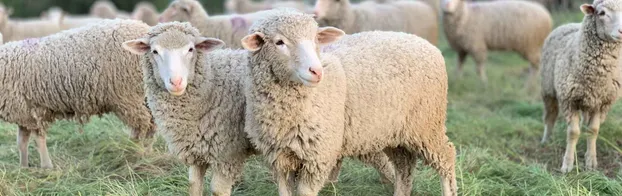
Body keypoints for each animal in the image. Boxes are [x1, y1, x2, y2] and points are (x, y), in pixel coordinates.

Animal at [0, 18, 156, 168]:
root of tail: (145, 28)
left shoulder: (33, 111)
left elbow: (39, 140)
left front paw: (46, 166)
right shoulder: (23, 112)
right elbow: (22, 143)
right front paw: (23, 167)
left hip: (129, 95)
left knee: (143, 125)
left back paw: (137, 152)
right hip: (143, 96)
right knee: (151, 123)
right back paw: (144, 151)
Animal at [120, 21, 394, 196]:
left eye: (190, 49)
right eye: (155, 51)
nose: (175, 82)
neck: (211, 85)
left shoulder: (227, 152)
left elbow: (218, 190)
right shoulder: (195, 152)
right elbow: (193, 187)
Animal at [244, 8, 458, 196]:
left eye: (316, 39)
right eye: (279, 42)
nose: (316, 71)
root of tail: (423, 42)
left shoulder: (319, 156)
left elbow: (305, 192)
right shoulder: (279, 159)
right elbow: (284, 191)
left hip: (426, 124)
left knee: (446, 156)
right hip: (394, 130)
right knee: (404, 166)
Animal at [540, 0, 622, 173]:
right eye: (602, 13)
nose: (621, 31)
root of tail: (568, 23)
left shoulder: (601, 102)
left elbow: (593, 130)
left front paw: (591, 161)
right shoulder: (569, 99)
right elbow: (573, 132)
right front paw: (567, 164)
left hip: (587, 101)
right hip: (547, 89)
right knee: (550, 116)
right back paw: (546, 140)